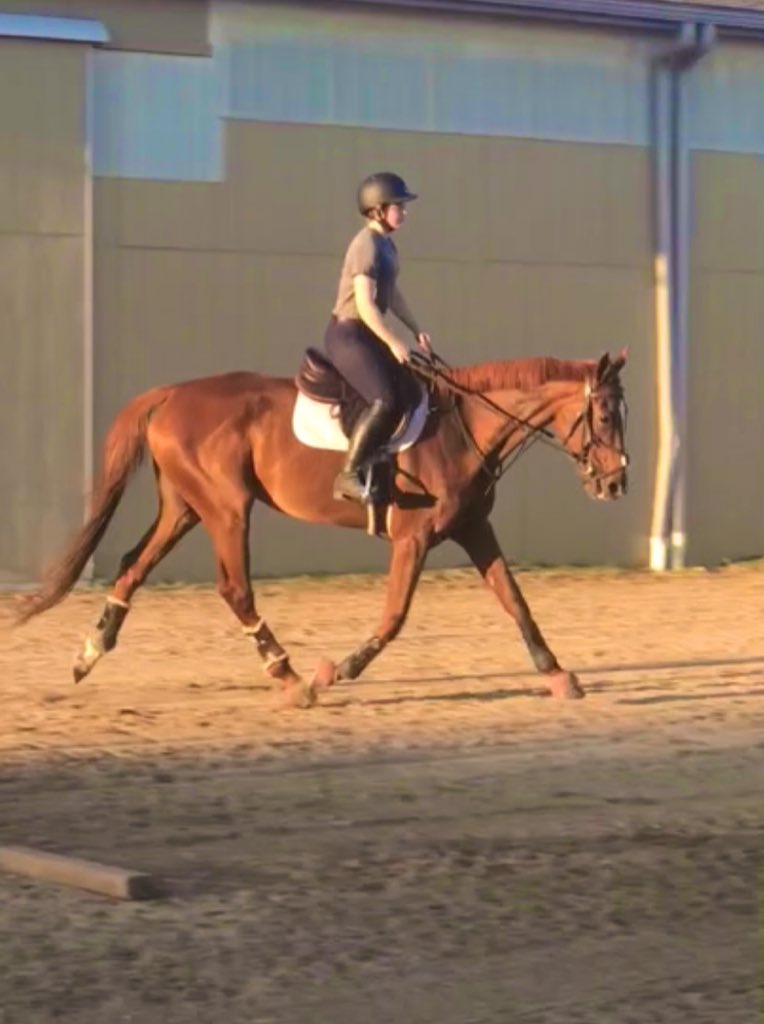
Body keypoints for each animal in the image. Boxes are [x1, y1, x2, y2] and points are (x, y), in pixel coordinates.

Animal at [16, 349, 629, 708]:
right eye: (604, 415)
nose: (617, 482)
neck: (461, 428)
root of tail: (170, 393)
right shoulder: (413, 539)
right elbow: (394, 617)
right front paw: (336, 671)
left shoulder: (475, 528)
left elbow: (516, 601)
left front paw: (558, 675)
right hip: (226, 508)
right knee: (234, 588)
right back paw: (290, 678)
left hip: (185, 508)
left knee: (132, 566)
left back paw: (89, 654)